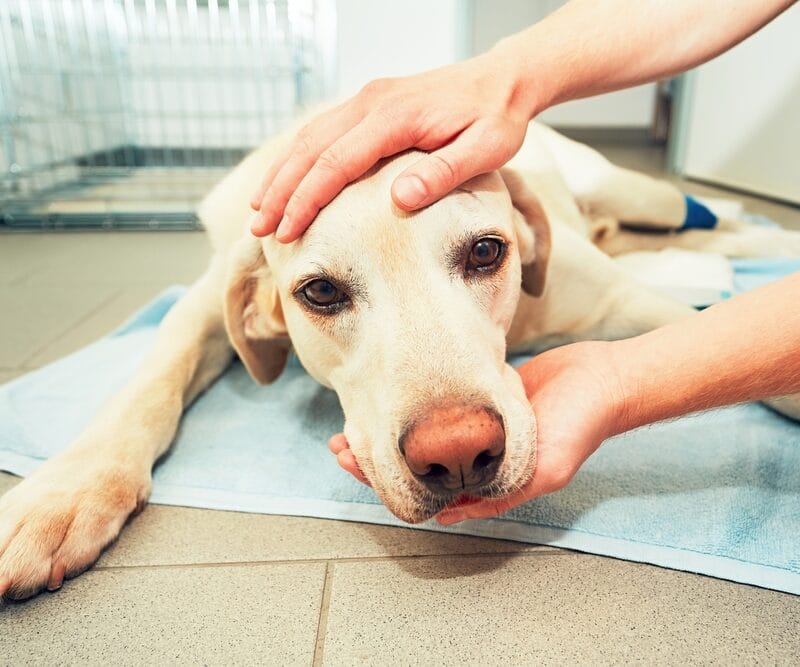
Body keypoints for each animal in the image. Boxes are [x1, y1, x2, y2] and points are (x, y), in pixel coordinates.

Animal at [1, 121, 800, 600]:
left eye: (487, 251)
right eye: (321, 291)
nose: (459, 453)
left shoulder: (625, 301)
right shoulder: (207, 297)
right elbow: (152, 374)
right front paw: (63, 494)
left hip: (637, 190)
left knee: (699, 219)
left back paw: (757, 235)